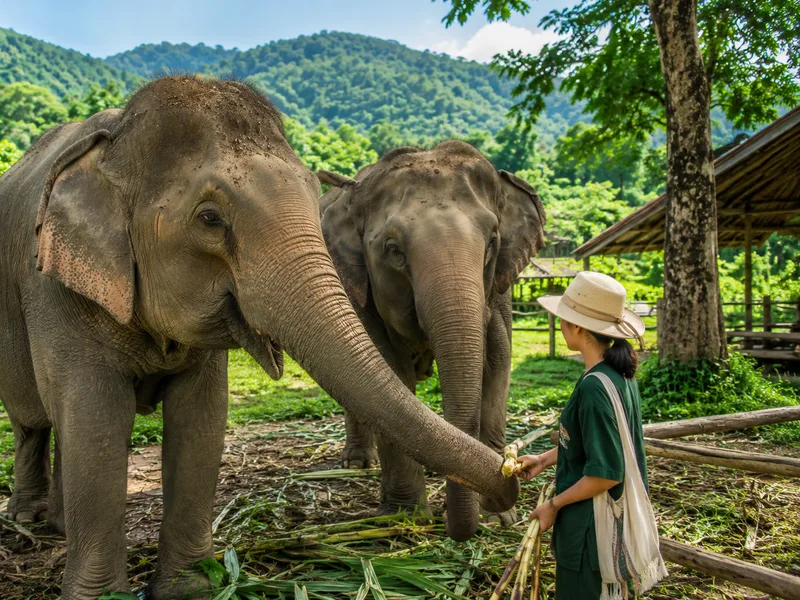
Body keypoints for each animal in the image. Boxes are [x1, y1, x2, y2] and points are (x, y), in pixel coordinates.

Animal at [0, 77, 519, 600]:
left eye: (494, 243)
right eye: (210, 218)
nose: (512, 470)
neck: (117, 138)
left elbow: (201, 418)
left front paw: (190, 589)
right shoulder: (55, 289)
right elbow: (96, 418)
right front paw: (106, 596)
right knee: (33, 421)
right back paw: (30, 519)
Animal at [318, 141, 546, 541]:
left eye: (492, 242)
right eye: (393, 250)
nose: (452, 525)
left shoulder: (500, 291)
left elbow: (498, 361)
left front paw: (496, 519)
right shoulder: (362, 295)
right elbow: (388, 374)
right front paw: (402, 518)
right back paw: (358, 462)